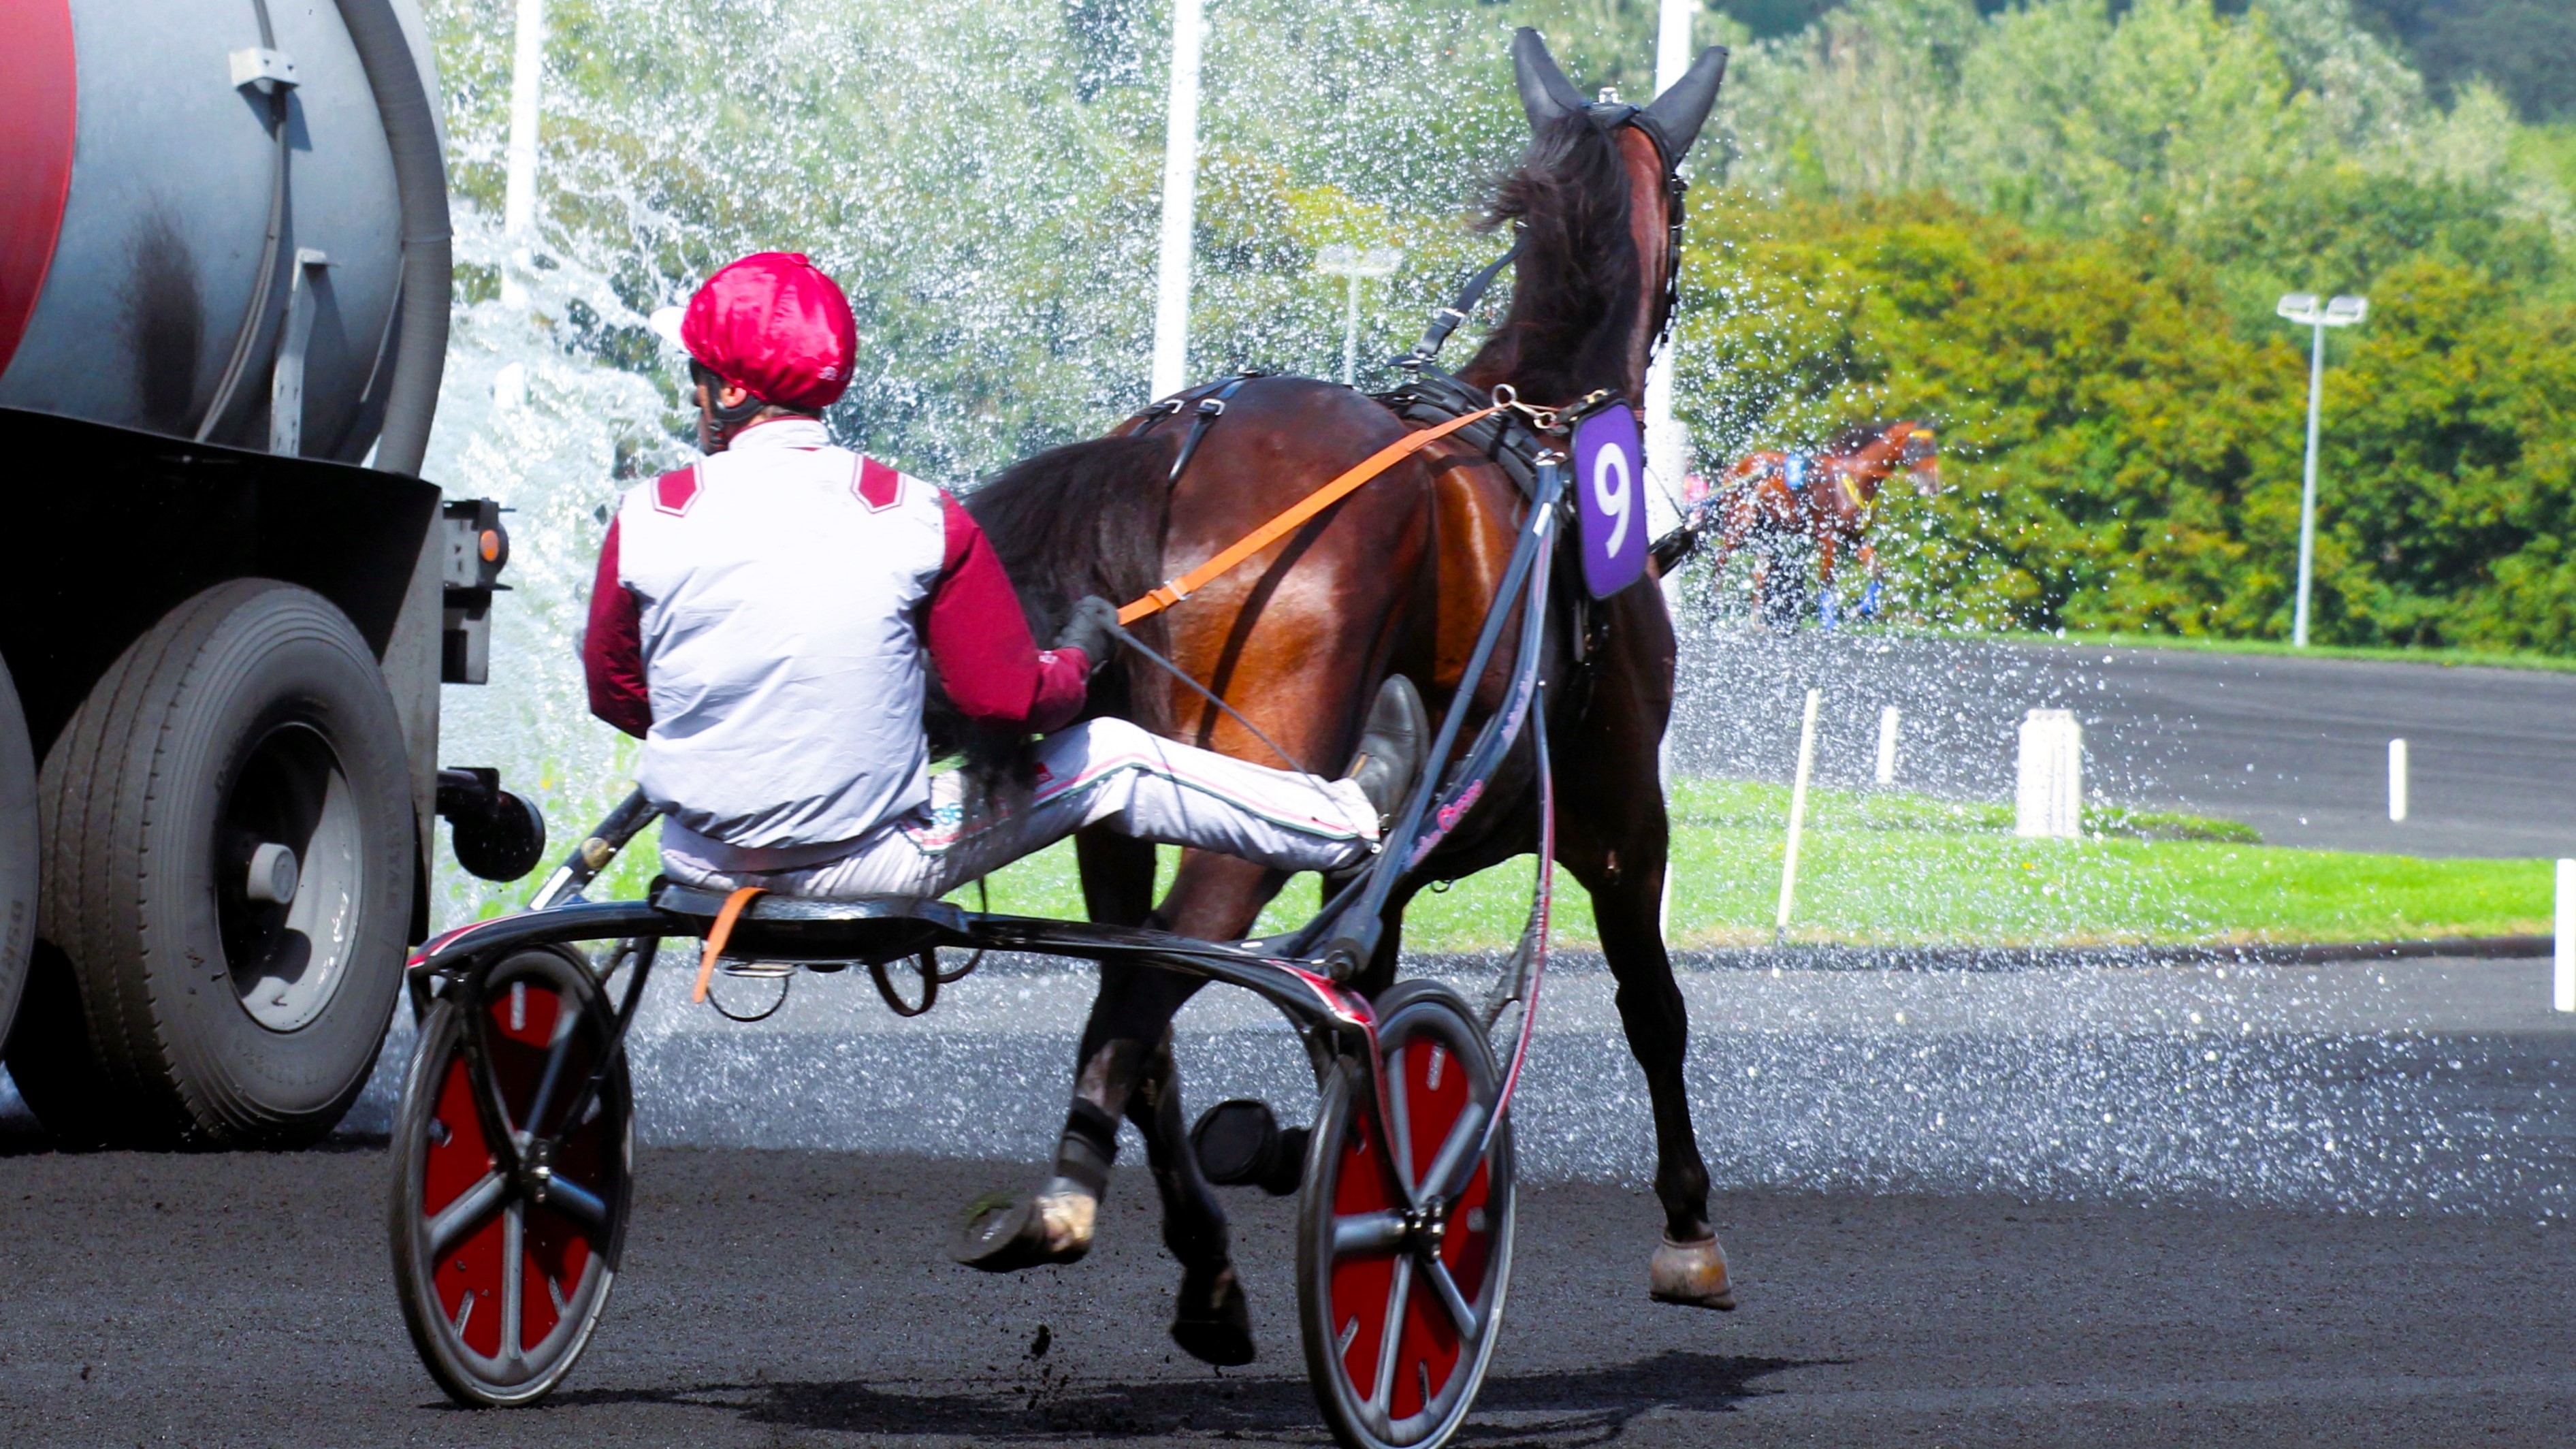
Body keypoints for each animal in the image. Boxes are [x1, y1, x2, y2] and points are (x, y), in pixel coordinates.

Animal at [948, 28, 1730, 1361]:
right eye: (1680, 199)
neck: (1540, 430)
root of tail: (1178, 443)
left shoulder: (1383, 854)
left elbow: (1354, 998)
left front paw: (1325, 1140)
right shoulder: (1625, 819)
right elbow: (1652, 1007)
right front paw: (1686, 1228)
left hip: (1126, 796)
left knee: (1136, 997)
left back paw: (1206, 1265)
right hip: (1260, 783)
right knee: (1158, 972)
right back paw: (1074, 1197)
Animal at [1679, 415, 1937, 624]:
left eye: (1934, 448)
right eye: (1917, 446)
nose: (1934, 485)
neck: (1849, 479)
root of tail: (1736, 469)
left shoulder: (1852, 537)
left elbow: (1878, 572)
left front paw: (1858, 610)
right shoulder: (1828, 536)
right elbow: (1827, 580)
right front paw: (1827, 623)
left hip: (1767, 531)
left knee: (1760, 573)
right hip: (1740, 523)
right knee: (1720, 562)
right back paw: (1711, 609)